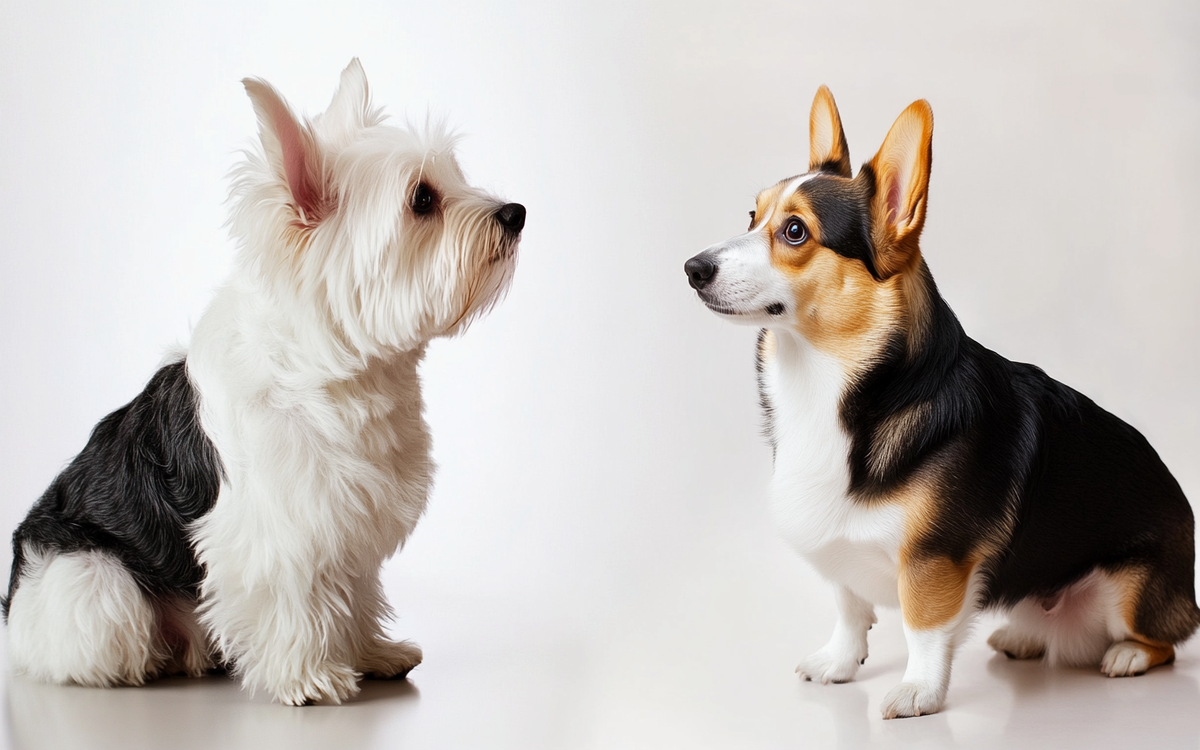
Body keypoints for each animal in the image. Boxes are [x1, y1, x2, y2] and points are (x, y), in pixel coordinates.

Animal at [686, 87, 1200, 720]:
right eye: (751, 217)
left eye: (796, 232)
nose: (691, 268)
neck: (833, 383)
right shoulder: (842, 558)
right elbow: (848, 608)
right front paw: (839, 663)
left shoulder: (933, 560)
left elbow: (922, 626)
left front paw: (919, 692)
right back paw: (1024, 635)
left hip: (1130, 590)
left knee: (1164, 641)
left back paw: (1125, 654)